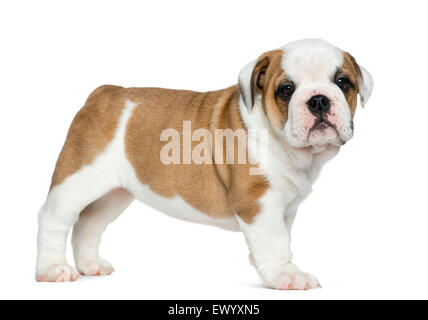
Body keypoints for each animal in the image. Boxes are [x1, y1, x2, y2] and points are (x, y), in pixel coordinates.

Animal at [36, 38, 372, 288]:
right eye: (286, 90)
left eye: (342, 82)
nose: (318, 99)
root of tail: (104, 93)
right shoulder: (258, 201)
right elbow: (276, 241)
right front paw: (286, 275)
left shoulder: (284, 207)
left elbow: (277, 237)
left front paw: (264, 267)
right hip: (78, 178)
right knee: (54, 218)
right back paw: (52, 270)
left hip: (114, 193)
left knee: (89, 223)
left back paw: (90, 266)